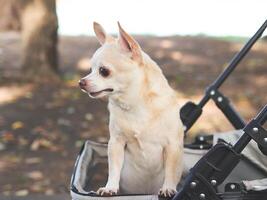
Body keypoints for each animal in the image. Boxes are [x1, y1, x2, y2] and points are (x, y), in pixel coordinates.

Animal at [78, 21, 185, 197]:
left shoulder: (173, 146)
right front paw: (110, 187)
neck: (135, 104)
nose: (81, 82)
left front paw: (168, 188)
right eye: (90, 70)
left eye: (103, 71)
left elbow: (170, 171)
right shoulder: (116, 143)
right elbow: (114, 168)